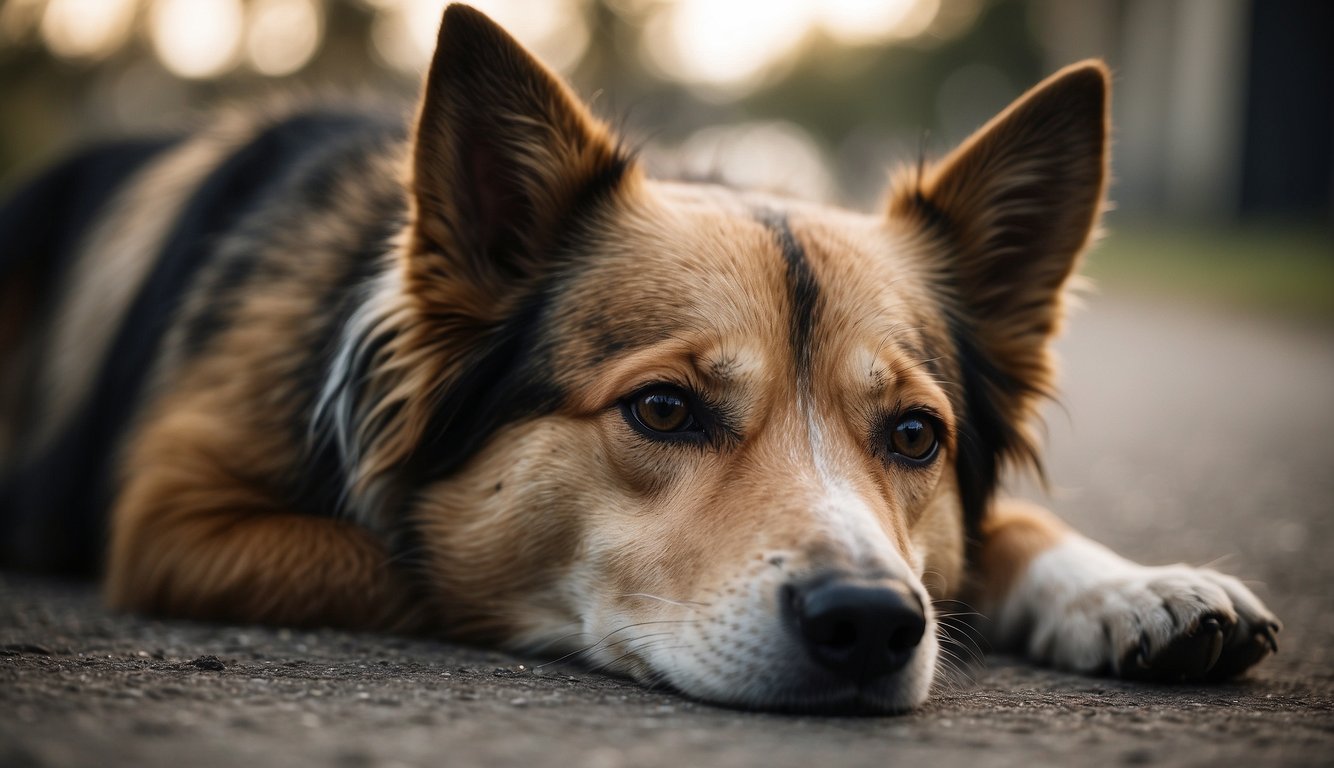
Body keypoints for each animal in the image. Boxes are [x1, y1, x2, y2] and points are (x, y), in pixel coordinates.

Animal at [0, 6, 1280, 714]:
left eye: (914, 436)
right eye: (662, 411)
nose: (871, 623)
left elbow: (993, 534)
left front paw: (1135, 587)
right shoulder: (173, 517)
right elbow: (425, 561)